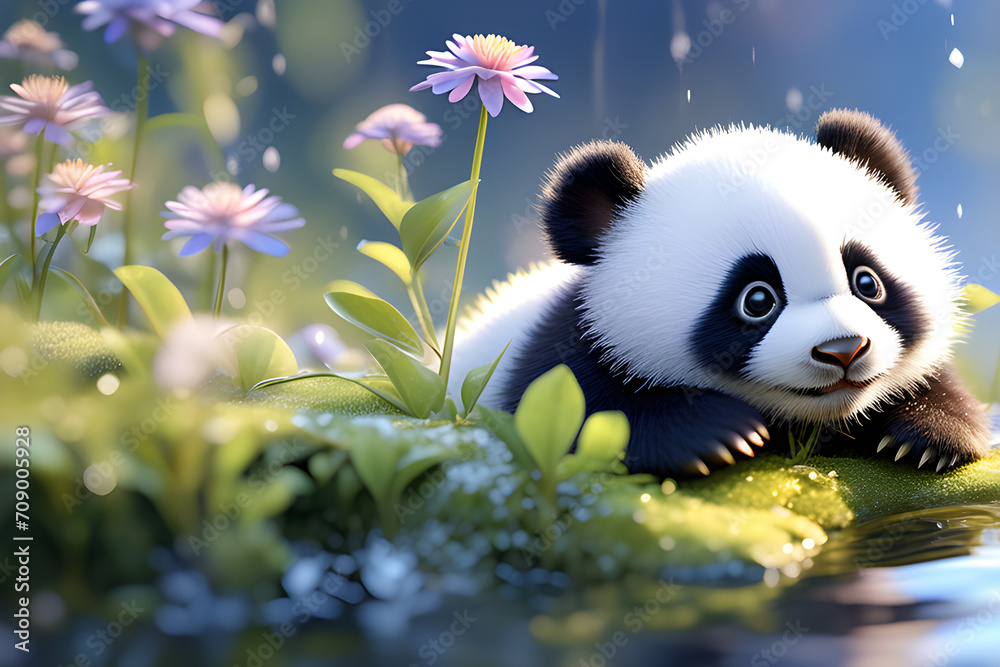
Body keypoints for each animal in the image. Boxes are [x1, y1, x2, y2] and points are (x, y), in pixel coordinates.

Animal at [448, 109, 992, 478]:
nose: (843, 351)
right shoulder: (563, 355)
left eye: (867, 282)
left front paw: (928, 433)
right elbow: (582, 417)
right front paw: (718, 434)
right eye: (757, 300)